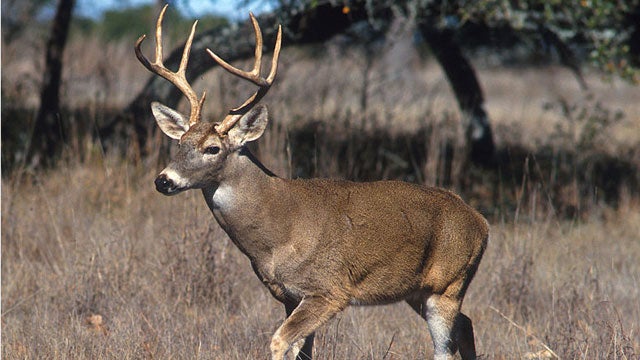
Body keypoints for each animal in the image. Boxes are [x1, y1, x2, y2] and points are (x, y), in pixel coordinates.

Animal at [136, 4, 490, 358]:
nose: (163, 180)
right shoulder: (288, 295)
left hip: (448, 284)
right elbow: (302, 349)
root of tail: (481, 222)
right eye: (180, 143)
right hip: (417, 291)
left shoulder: (329, 289)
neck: (276, 232)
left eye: (212, 148)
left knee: (445, 346)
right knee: (467, 324)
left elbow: (280, 341)